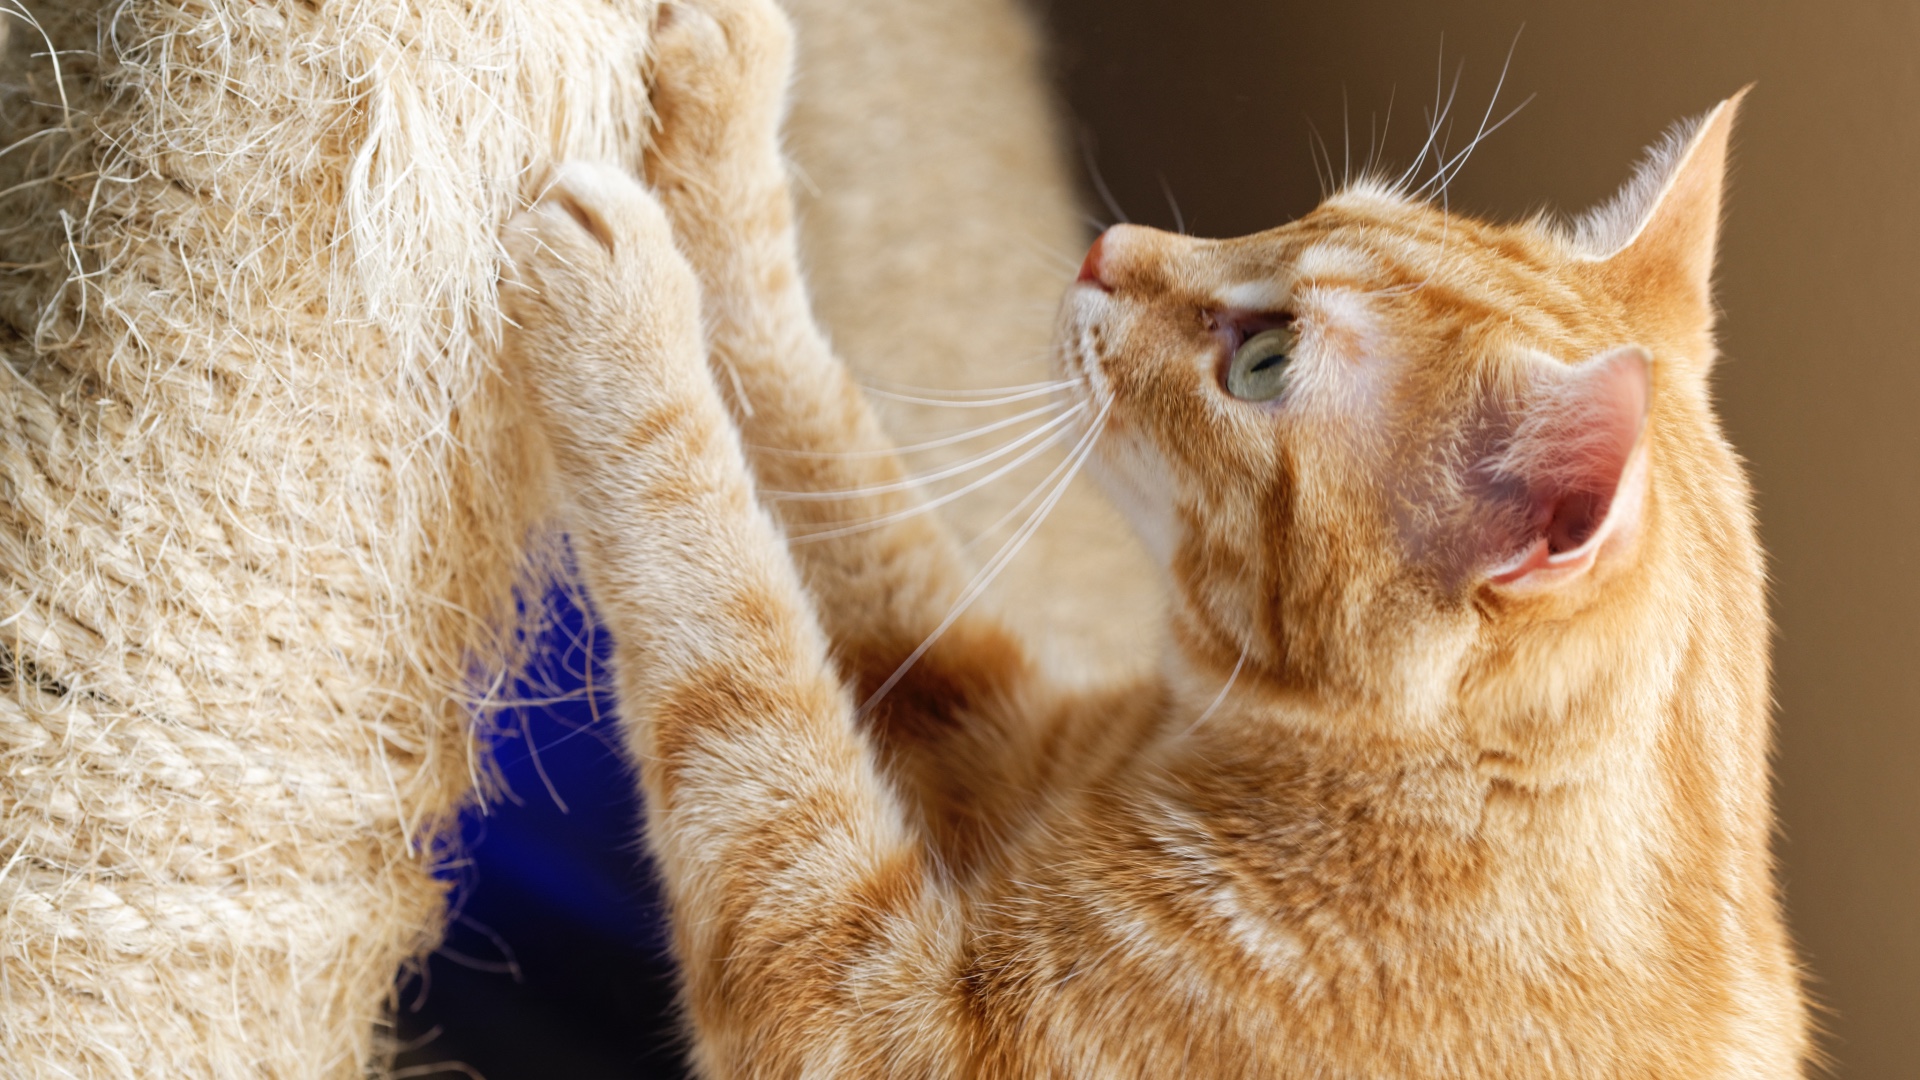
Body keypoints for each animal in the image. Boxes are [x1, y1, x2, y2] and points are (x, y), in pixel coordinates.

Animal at [503, 0, 1804, 1068]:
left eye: (1265, 363)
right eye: (1315, 206)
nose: (1108, 246)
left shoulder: (865, 1012)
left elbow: (732, 630)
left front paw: (625, 318)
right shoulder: (980, 717)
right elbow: (819, 433)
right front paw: (726, 119)